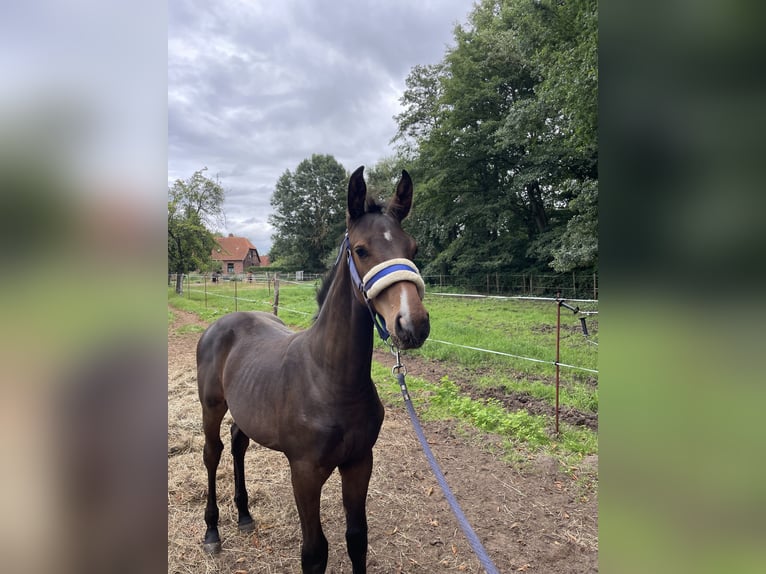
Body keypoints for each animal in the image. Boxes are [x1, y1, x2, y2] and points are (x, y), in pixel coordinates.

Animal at [195, 166, 430, 573]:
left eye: (413, 249)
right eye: (361, 249)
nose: (411, 324)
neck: (331, 381)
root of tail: (221, 324)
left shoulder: (359, 462)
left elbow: (357, 538)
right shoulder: (304, 473)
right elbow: (315, 551)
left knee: (239, 442)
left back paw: (245, 515)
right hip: (211, 407)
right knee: (214, 452)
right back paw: (212, 533)